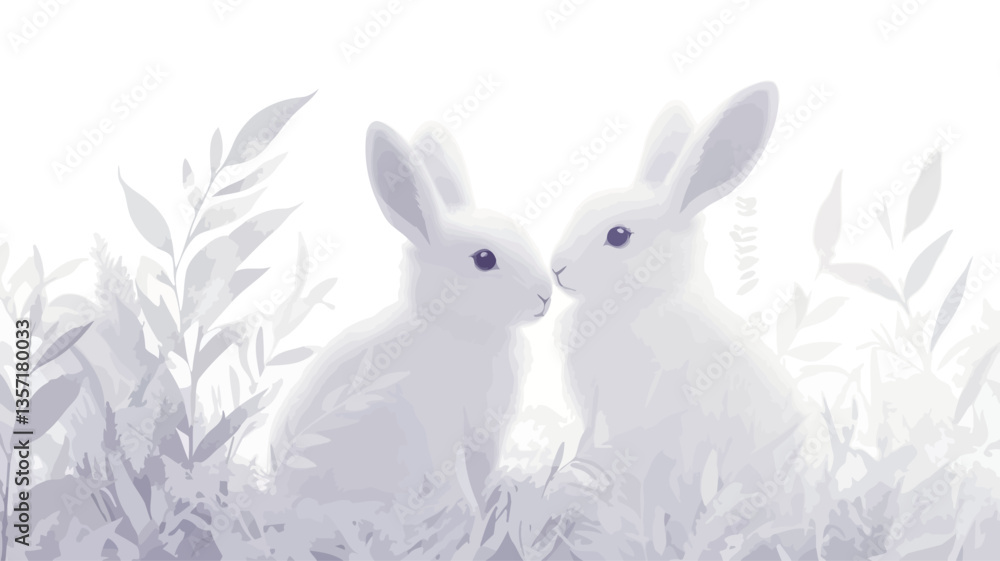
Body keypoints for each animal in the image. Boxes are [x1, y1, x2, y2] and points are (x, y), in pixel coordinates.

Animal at [271, 121, 553, 525]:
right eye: (484, 259)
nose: (546, 295)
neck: (455, 326)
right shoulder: (468, 432)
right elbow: (475, 480)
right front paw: (480, 518)